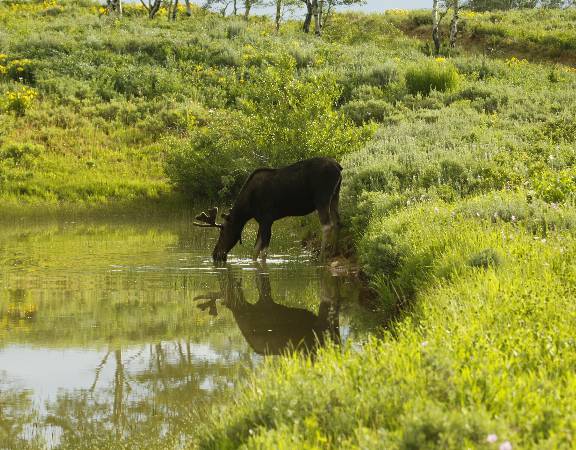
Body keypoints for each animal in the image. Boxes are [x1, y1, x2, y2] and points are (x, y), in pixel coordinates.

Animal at [196, 158, 342, 264]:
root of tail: (339, 168)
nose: (215, 254)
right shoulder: (261, 221)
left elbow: (263, 252)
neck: (247, 209)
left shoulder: (267, 219)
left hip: (322, 198)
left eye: (222, 232)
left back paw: (322, 257)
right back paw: (335, 251)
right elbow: (255, 251)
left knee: (327, 225)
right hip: (335, 196)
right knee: (337, 222)